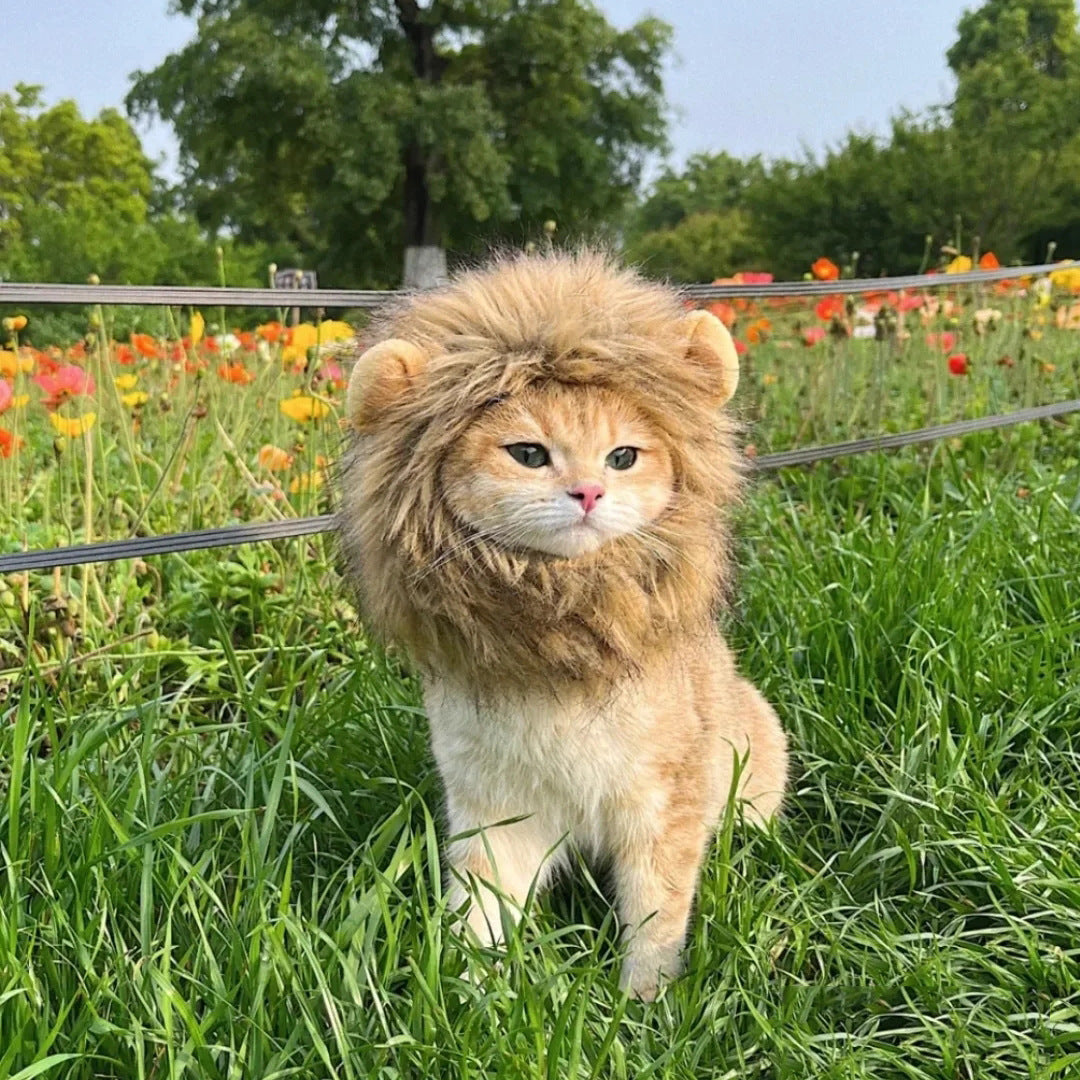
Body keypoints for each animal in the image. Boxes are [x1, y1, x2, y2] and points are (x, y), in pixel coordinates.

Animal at [341, 248, 790, 997]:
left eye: (624, 456)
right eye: (528, 454)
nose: (589, 493)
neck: (565, 647)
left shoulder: (661, 808)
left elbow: (657, 918)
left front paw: (644, 1005)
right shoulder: (497, 812)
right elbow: (480, 915)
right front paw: (467, 998)